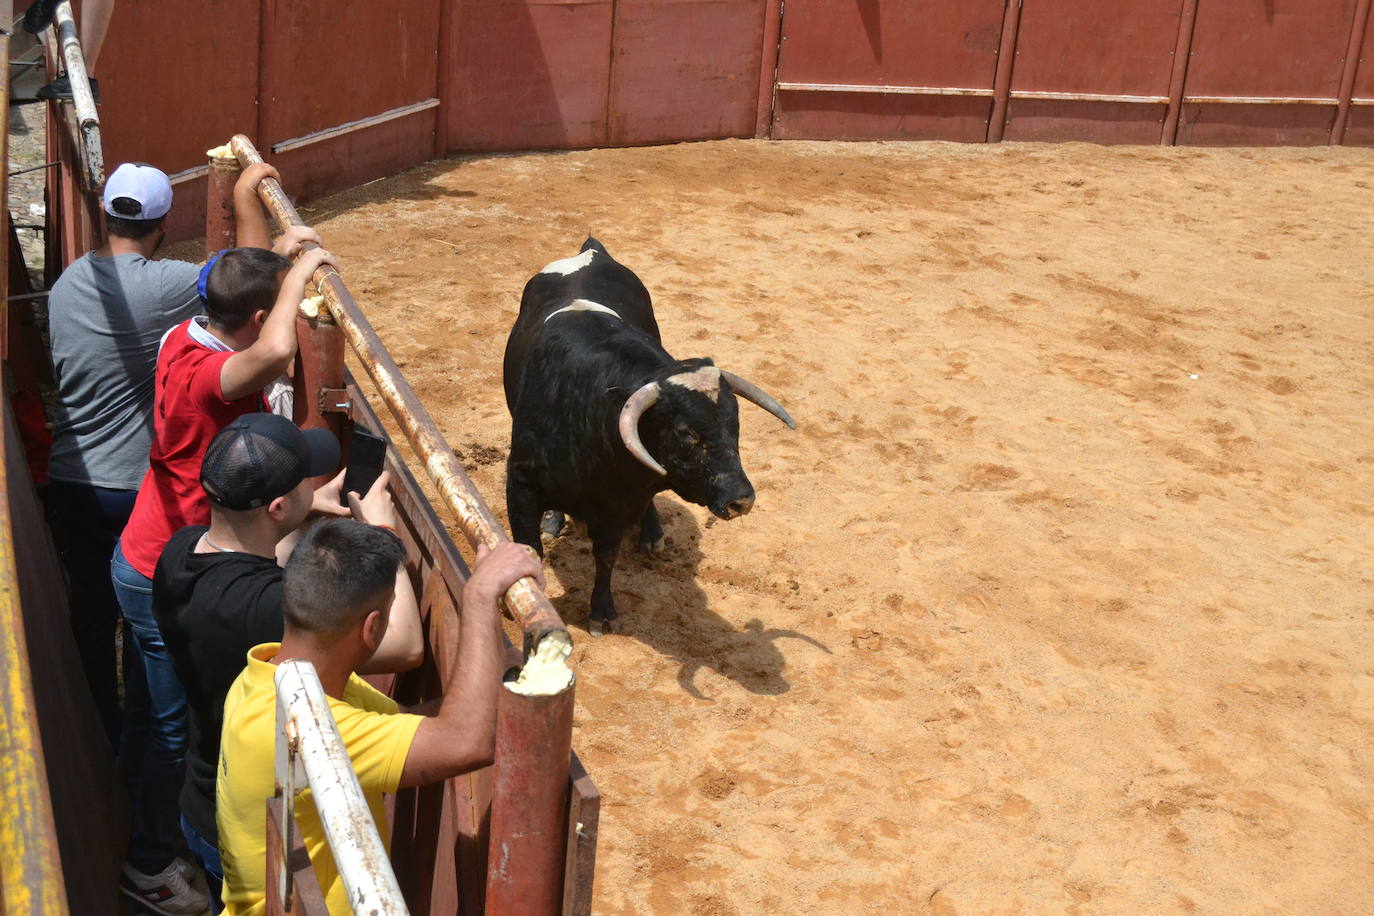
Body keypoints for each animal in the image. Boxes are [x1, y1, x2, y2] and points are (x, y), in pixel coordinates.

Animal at [502, 236, 796, 634]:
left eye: (734, 425)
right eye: (687, 433)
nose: (742, 500)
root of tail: (592, 251)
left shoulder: (619, 504)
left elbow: (606, 557)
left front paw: (602, 611)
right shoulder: (520, 484)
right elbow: (529, 548)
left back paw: (651, 534)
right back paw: (554, 518)